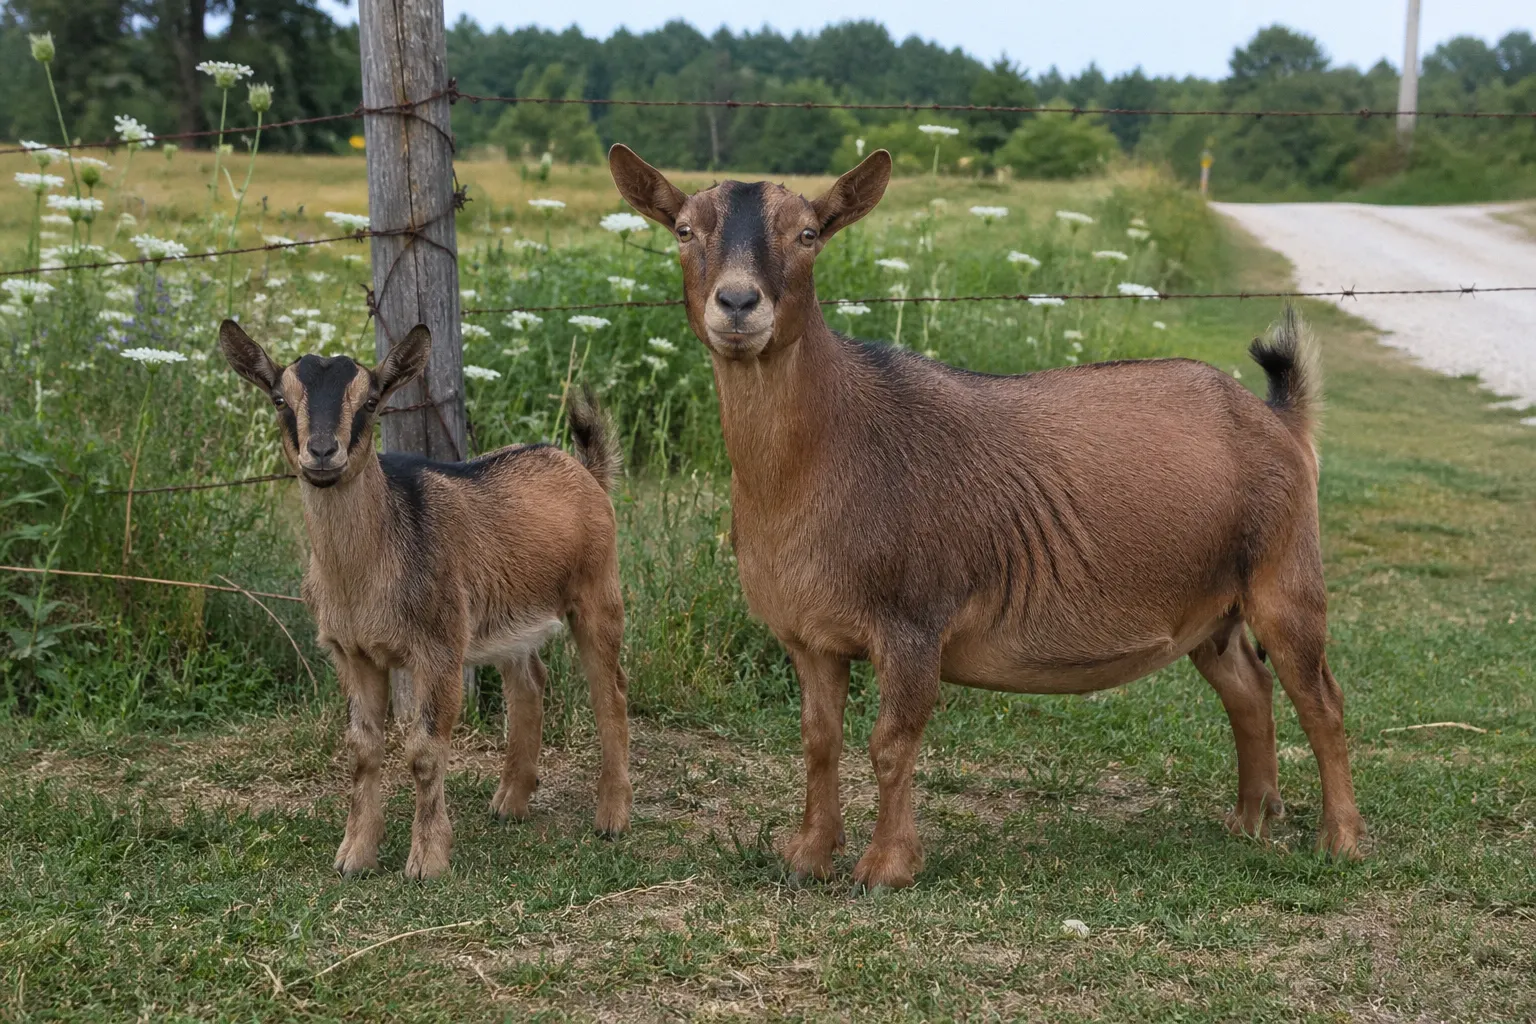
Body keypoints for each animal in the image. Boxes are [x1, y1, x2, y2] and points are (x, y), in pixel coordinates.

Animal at [218, 320, 631, 879]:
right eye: (280, 399)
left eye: (371, 400)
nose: (322, 451)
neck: (367, 570)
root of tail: (586, 472)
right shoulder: (352, 652)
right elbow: (363, 748)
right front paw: (354, 856)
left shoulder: (438, 647)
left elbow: (424, 749)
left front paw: (427, 860)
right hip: (510, 618)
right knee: (529, 682)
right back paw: (510, 802)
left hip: (597, 591)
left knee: (610, 691)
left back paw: (611, 816)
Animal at [609, 145, 1363, 890]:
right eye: (683, 231)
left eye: (809, 234)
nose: (738, 304)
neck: (827, 448)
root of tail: (1279, 419)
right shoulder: (809, 636)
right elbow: (819, 741)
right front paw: (807, 857)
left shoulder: (913, 621)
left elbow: (891, 743)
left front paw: (885, 867)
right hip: (1212, 606)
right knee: (1249, 689)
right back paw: (1249, 820)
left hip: (1286, 573)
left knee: (1320, 699)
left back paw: (1340, 841)